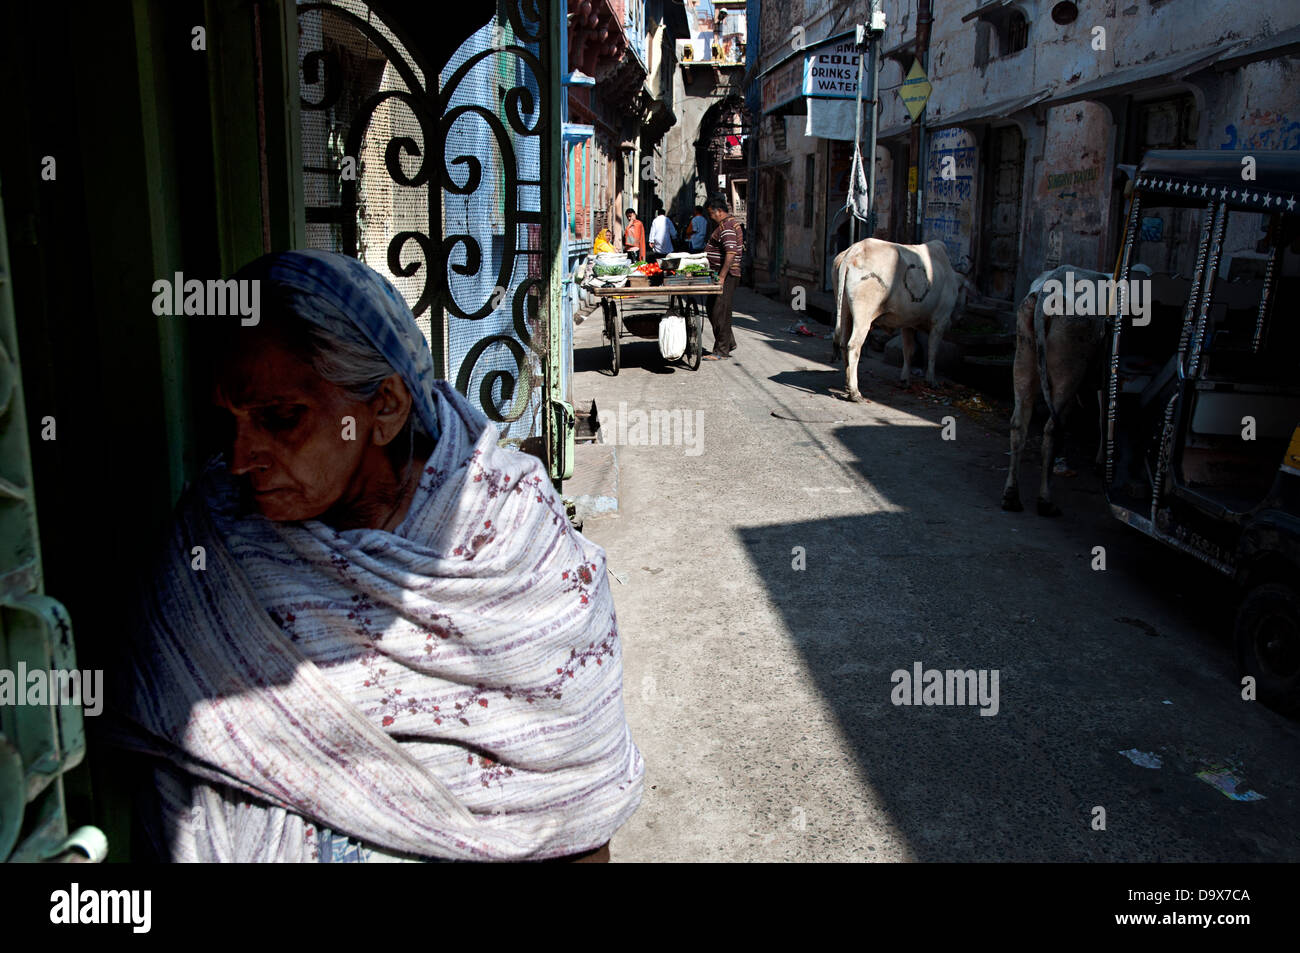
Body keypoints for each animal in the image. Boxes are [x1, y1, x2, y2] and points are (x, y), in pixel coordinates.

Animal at [832, 241, 967, 400]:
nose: (960, 320)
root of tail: (854, 250)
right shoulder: (940, 320)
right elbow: (932, 352)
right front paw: (931, 381)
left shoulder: (908, 323)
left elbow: (909, 351)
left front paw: (905, 381)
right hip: (863, 315)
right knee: (853, 345)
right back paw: (854, 392)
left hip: (845, 310)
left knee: (843, 343)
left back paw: (847, 385)